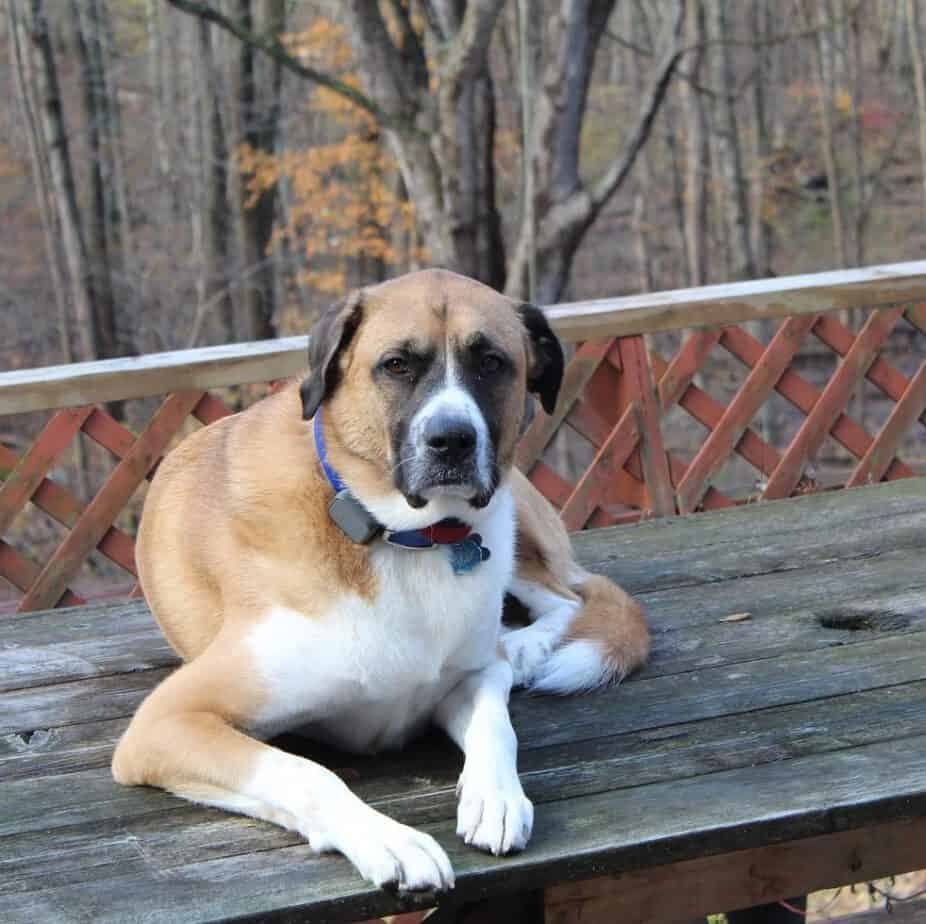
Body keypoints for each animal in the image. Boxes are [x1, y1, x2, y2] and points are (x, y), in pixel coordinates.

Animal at [112, 270, 648, 892]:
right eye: (396, 365)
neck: (398, 534)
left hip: (516, 524)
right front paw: (390, 840)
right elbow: (306, 772)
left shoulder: (471, 676)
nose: (452, 440)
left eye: (492, 363)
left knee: (568, 598)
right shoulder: (168, 722)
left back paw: (523, 647)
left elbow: (496, 723)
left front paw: (496, 798)